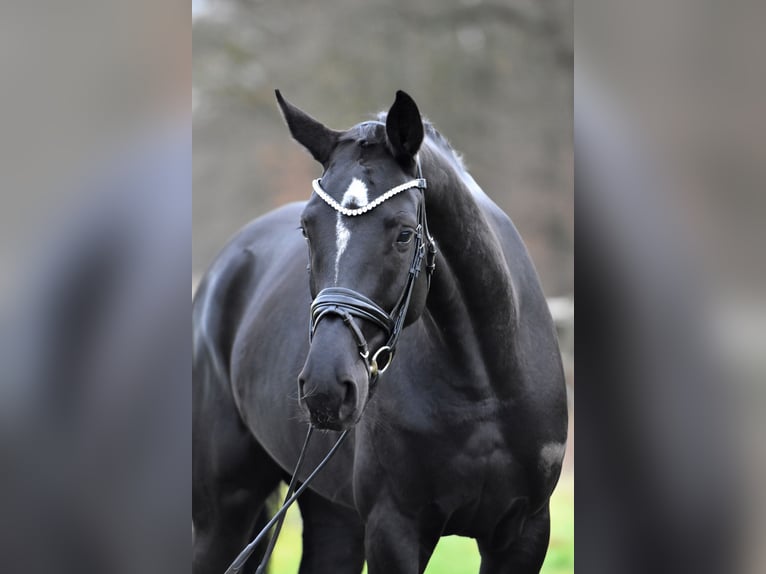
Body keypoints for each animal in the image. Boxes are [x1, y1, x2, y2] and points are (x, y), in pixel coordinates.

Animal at [192, 91, 568, 574]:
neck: (484, 386)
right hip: (224, 510)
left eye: (405, 234)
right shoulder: (394, 528)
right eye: (306, 228)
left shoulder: (525, 532)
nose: (326, 387)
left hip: (332, 512)